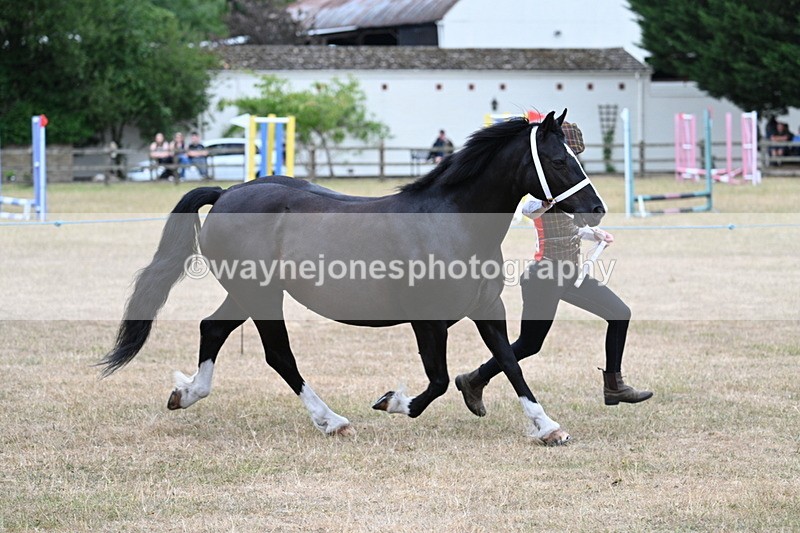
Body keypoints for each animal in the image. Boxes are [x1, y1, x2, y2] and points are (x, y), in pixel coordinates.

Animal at [100, 110, 606, 445]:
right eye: (559, 161)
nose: (596, 209)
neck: (450, 221)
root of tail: (227, 193)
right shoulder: (427, 320)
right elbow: (439, 381)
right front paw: (392, 401)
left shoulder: (487, 309)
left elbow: (510, 362)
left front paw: (547, 427)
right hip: (261, 296)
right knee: (278, 355)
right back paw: (332, 420)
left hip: (247, 294)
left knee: (213, 328)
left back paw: (187, 393)